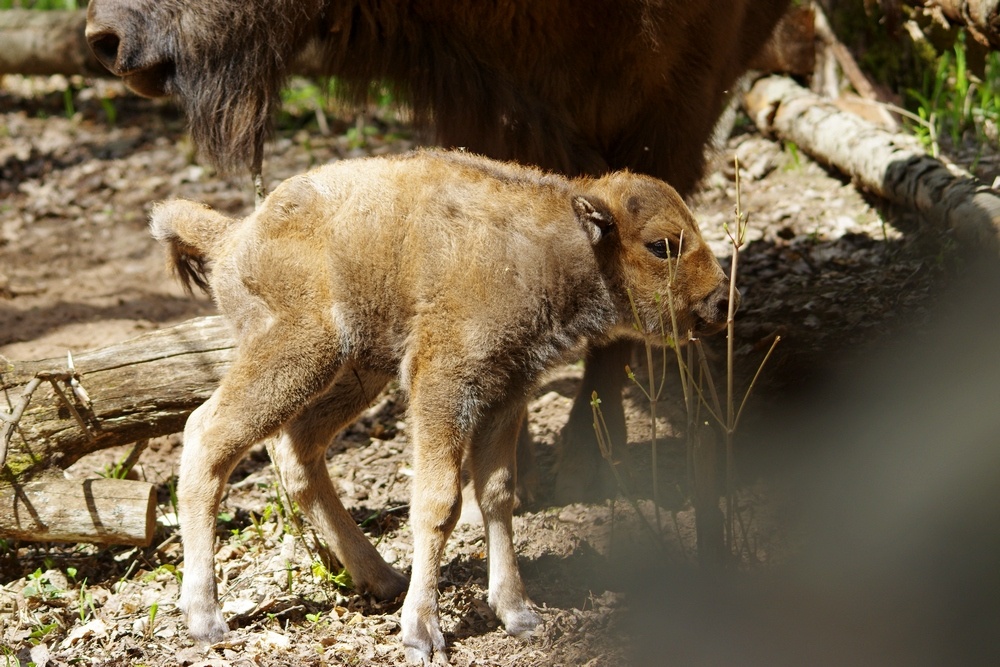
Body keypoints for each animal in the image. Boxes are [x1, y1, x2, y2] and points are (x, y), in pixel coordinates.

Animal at [150, 149, 736, 664]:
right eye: (662, 245)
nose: (719, 302)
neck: (550, 247)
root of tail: (234, 236)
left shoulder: (507, 393)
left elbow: (497, 492)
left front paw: (519, 613)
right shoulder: (443, 387)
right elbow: (440, 503)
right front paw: (422, 634)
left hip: (358, 373)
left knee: (298, 452)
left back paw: (382, 577)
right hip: (299, 353)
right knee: (208, 435)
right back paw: (206, 619)